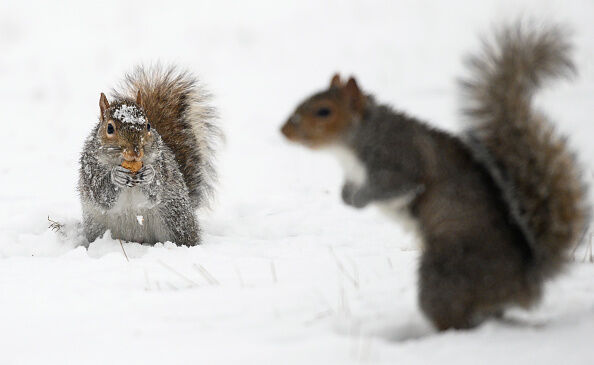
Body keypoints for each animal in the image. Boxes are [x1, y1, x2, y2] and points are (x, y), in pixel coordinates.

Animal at [77, 66, 219, 247]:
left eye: (148, 125)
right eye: (109, 128)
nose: (135, 151)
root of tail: (138, 239)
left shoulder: (162, 163)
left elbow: (154, 192)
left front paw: (149, 174)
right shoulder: (90, 169)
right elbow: (100, 194)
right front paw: (116, 176)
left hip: (175, 217)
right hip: (98, 226)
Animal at [278, 22, 588, 330]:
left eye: (324, 111)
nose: (285, 130)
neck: (352, 144)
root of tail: (526, 280)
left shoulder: (400, 160)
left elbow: (394, 185)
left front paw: (359, 200)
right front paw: (346, 197)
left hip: (446, 271)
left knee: (455, 319)